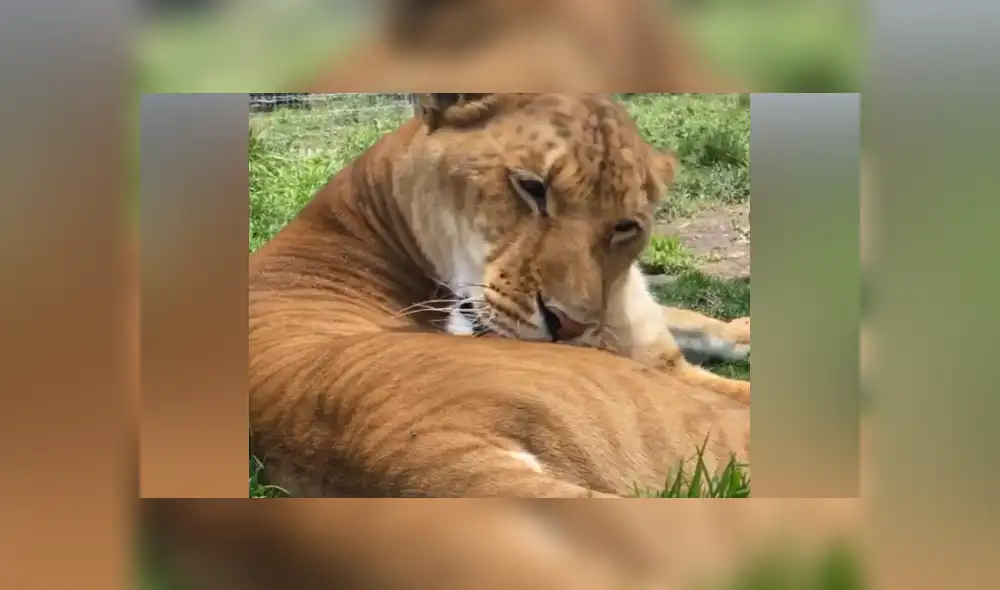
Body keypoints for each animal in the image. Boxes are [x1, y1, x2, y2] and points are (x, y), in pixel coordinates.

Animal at [249, 93, 750, 497]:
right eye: (530, 187)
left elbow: (687, 317)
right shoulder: (661, 366)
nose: (567, 324)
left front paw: (741, 331)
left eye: (625, 226)